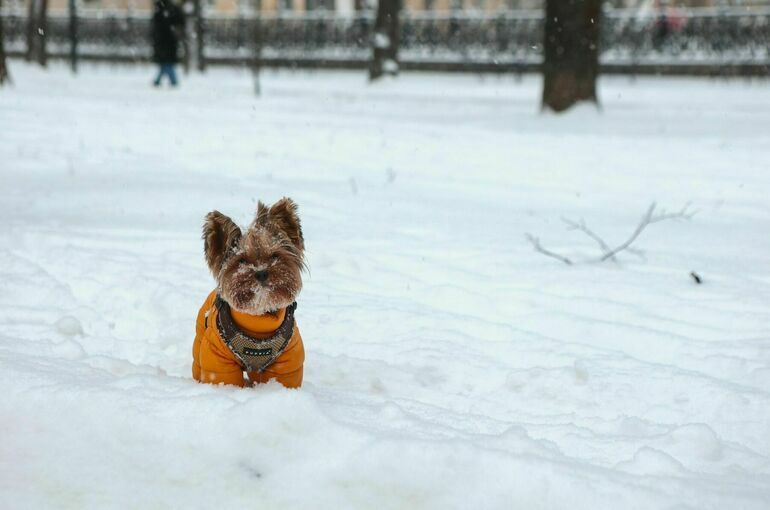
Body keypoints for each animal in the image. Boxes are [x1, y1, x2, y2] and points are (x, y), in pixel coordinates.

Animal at [192, 197, 306, 388]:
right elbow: (223, 379)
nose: (261, 273)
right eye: (242, 260)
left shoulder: (288, 358)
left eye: (275, 256)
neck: (258, 321)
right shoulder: (217, 356)